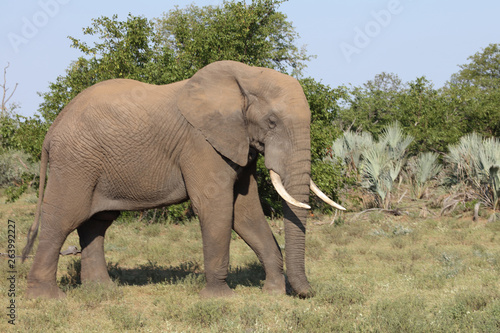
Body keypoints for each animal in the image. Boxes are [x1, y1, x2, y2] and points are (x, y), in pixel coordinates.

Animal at [22, 59, 344, 298]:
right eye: (272, 122)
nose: (309, 293)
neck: (244, 77)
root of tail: (52, 129)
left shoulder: (239, 142)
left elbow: (246, 211)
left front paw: (272, 293)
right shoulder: (200, 143)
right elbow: (215, 206)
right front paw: (220, 298)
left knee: (96, 223)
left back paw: (103, 291)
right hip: (76, 162)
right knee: (64, 217)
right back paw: (47, 298)